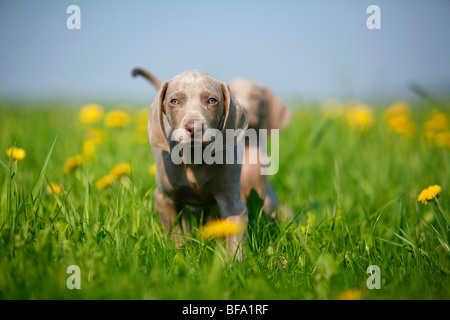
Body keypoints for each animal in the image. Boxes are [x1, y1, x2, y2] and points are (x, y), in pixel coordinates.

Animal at [137, 69, 250, 260]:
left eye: (211, 100)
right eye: (174, 101)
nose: (194, 127)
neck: (195, 157)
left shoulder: (232, 203)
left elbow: (235, 242)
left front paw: (232, 265)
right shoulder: (164, 199)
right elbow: (175, 233)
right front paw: (180, 256)